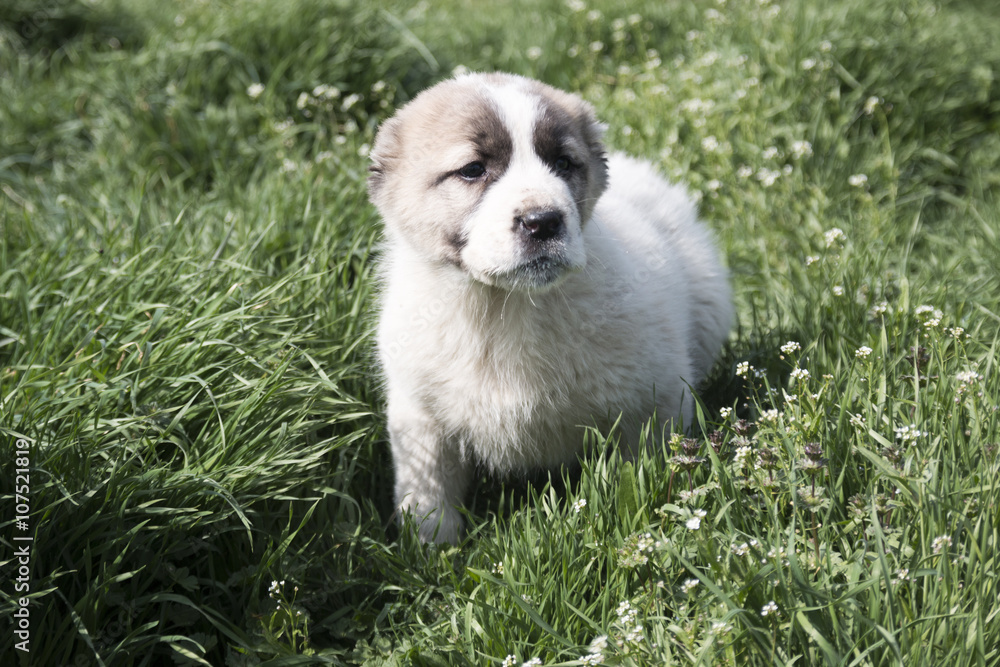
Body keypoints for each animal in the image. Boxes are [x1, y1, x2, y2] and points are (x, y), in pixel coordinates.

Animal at [366, 73, 728, 544]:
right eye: (472, 169)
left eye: (563, 162)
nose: (543, 221)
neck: (506, 310)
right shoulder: (421, 417)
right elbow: (428, 496)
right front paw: (431, 553)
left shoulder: (655, 397)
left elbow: (647, 470)